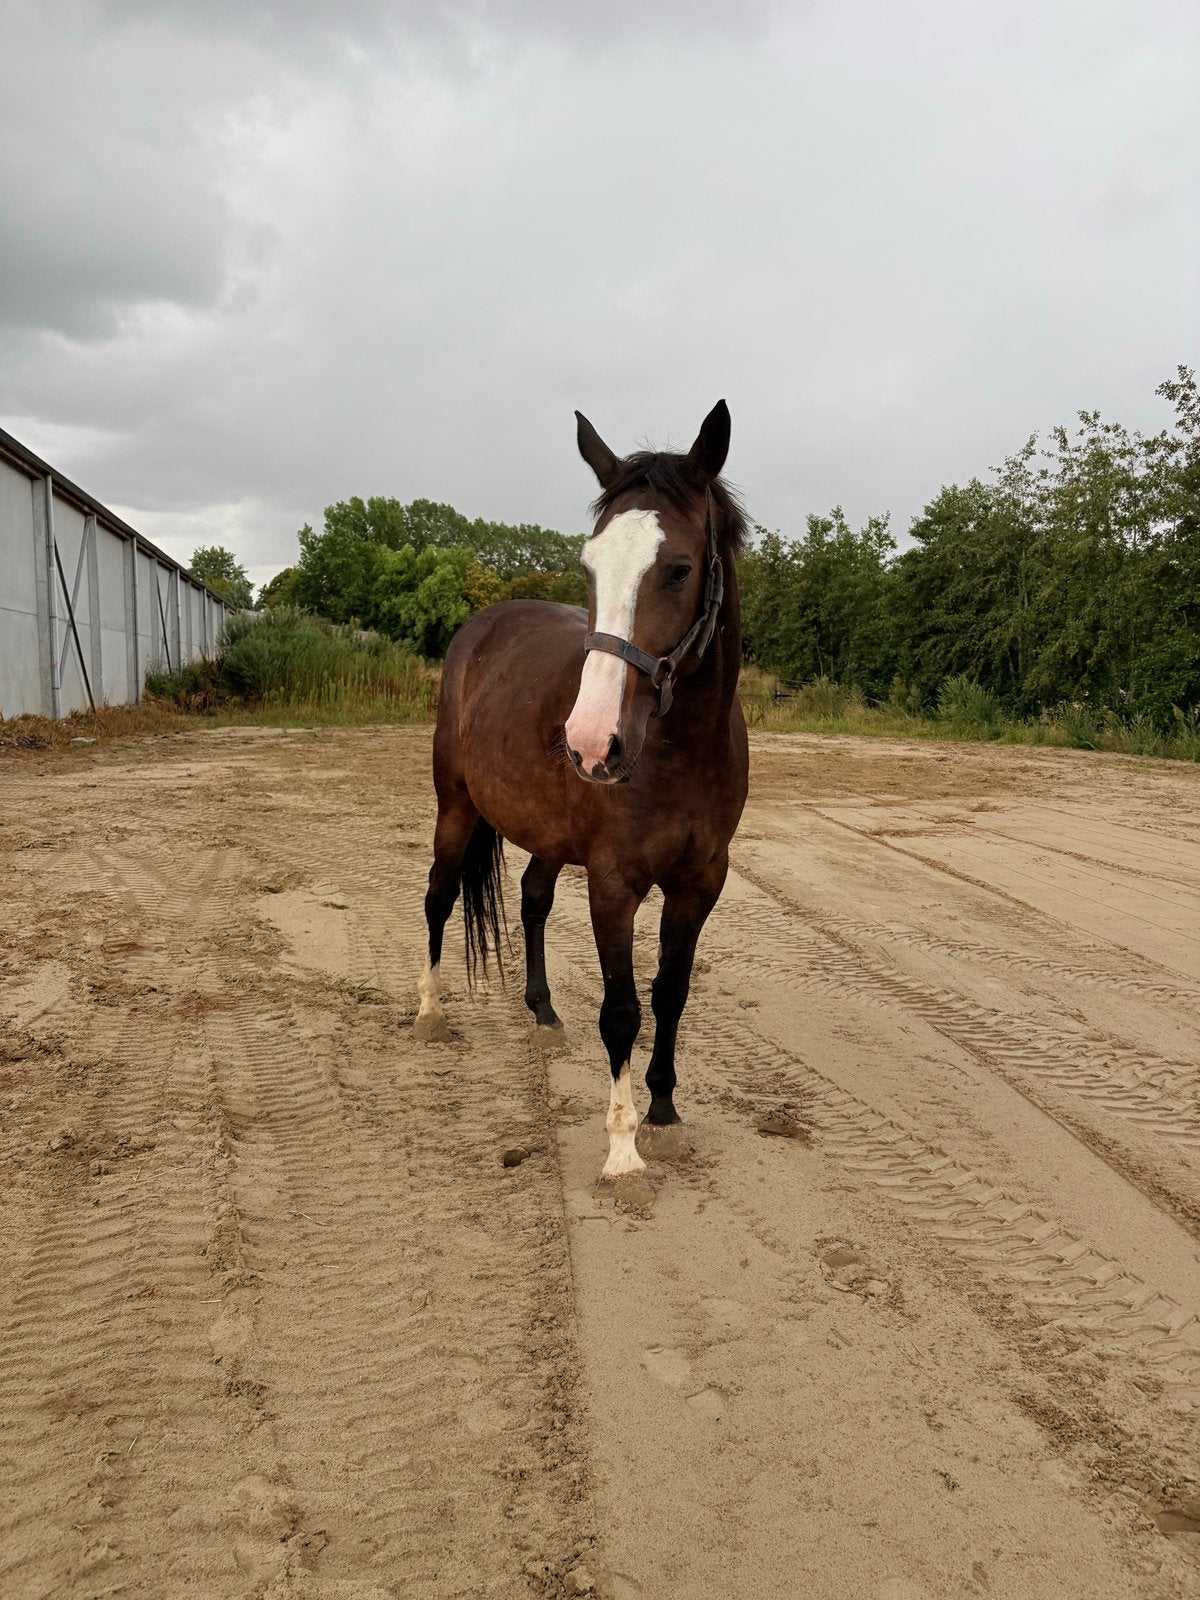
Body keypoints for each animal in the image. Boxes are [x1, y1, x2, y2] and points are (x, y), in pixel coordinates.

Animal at [415, 400, 750, 1179]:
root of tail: (482, 625)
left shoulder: (701, 881)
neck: (680, 753)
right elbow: (622, 1010)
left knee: (532, 899)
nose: (592, 743)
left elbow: (671, 993)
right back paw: (430, 1012)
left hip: (546, 834)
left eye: (679, 569)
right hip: (456, 807)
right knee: (439, 897)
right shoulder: (613, 882)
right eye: (590, 567)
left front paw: (664, 1114)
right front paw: (623, 1150)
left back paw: (541, 1014)